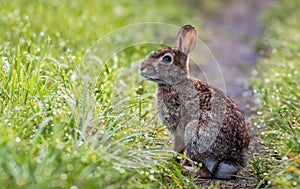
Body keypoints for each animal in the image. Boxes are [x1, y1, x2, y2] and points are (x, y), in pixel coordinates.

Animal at [140, 24, 251, 179]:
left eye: (166, 59)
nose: (142, 68)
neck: (174, 83)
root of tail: (230, 161)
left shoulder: (179, 127)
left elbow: (178, 149)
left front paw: (171, 164)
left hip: (195, 132)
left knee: (205, 171)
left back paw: (186, 170)